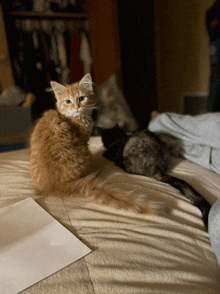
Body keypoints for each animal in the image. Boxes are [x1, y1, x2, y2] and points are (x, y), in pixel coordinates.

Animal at [29, 74, 159, 214]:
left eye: (81, 98)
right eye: (68, 101)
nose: (77, 107)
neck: (74, 118)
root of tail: (55, 186)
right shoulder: (84, 140)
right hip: (84, 152)